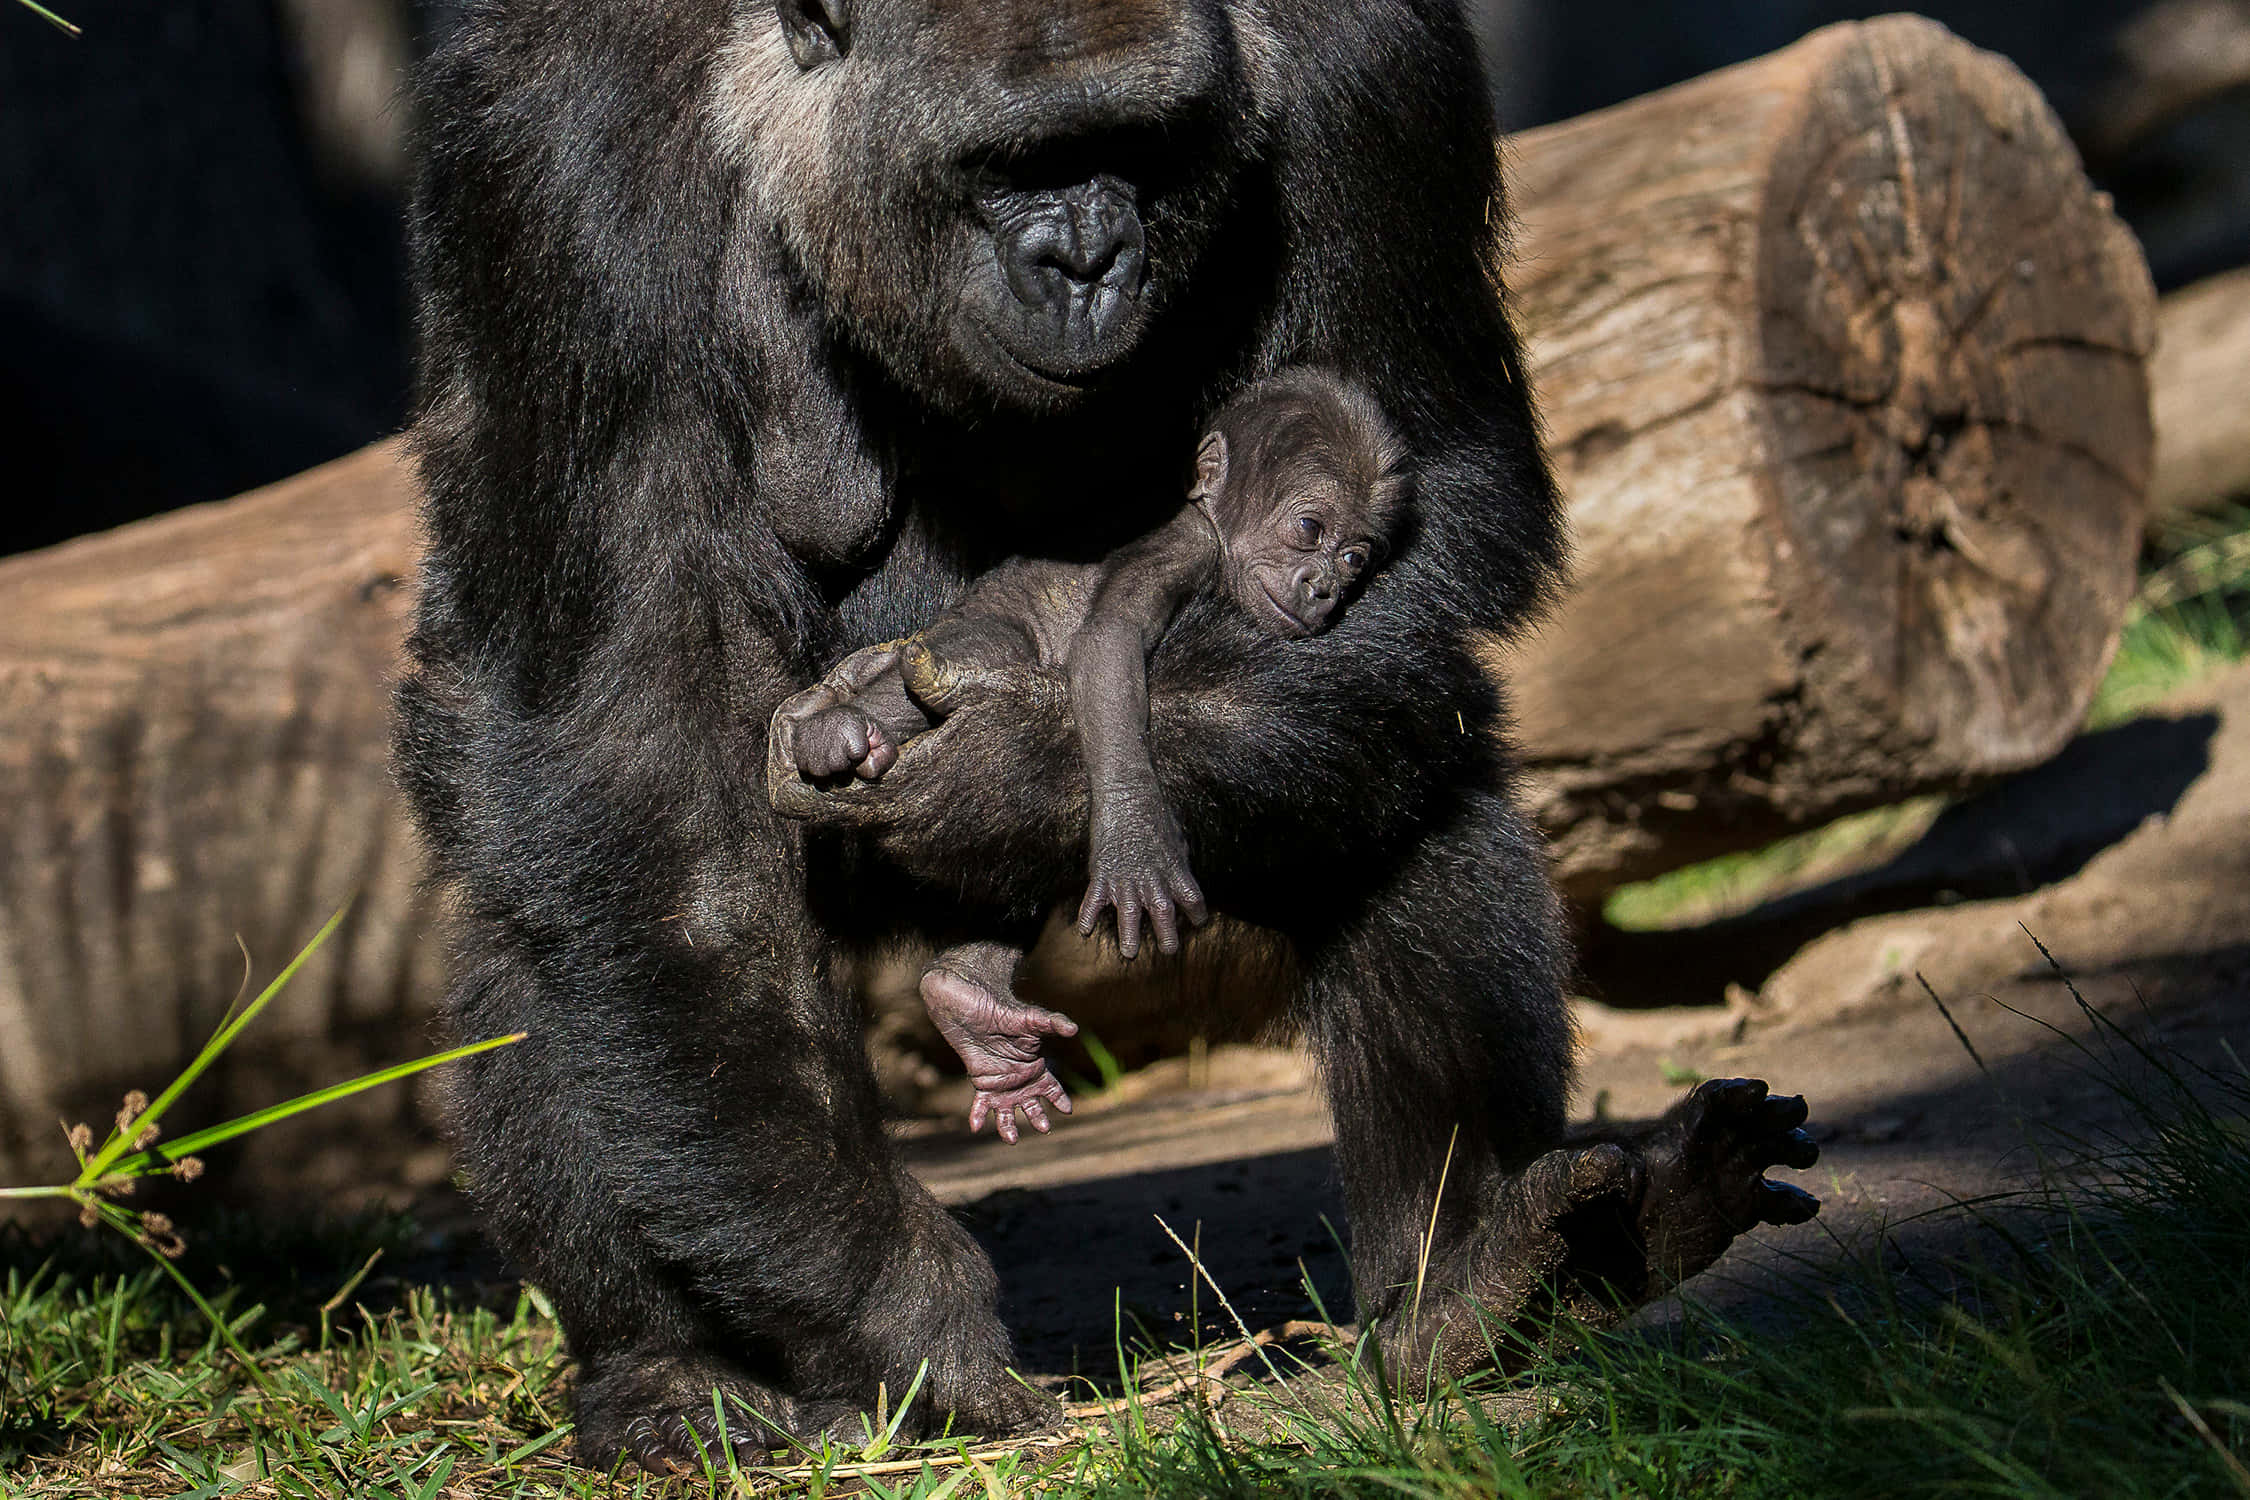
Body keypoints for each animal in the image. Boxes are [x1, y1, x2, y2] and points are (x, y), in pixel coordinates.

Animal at [779, 369, 1406, 1144]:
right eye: (1309, 530)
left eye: (1355, 558)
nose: (1323, 588)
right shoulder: (1182, 549)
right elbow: (1108, 641)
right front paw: (1136, 837)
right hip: (969, 635)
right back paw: (838, 730)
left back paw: (971, 1007)